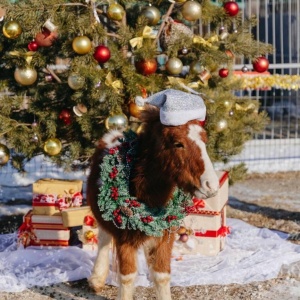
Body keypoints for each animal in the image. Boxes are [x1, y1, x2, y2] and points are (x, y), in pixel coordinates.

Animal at [86, 104, 218, 298]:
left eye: (205, 141)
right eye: (178, 144)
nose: (211, 185)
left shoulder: (165, 235)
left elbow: (162, 275)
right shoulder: (124, 238)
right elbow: (127, 278)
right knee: (103, 236)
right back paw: (96, 279)